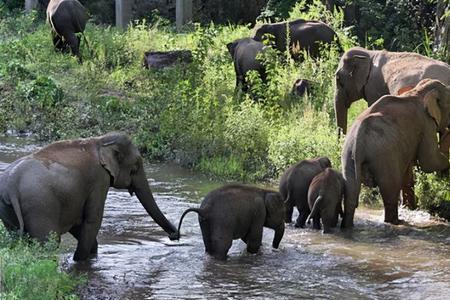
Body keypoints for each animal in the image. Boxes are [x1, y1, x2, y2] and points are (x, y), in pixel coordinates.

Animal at [0, 132, 178, 262]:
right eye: (135, 167)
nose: (174, 236)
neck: (100, 141)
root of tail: (12, 183)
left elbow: (79, 224)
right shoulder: (99, 180)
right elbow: (92, 220)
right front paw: (79, 261)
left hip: (8, 208)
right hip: (40, 206)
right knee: (48, 243)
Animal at [342, 78, 450, 229]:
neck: (420, 90)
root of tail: (359, 140)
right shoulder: (426, 124)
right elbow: (429, 161)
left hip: (348, 155)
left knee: (351, 194)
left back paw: (348, 226)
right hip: (384, 155)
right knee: (390, 190)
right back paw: (396, 222)